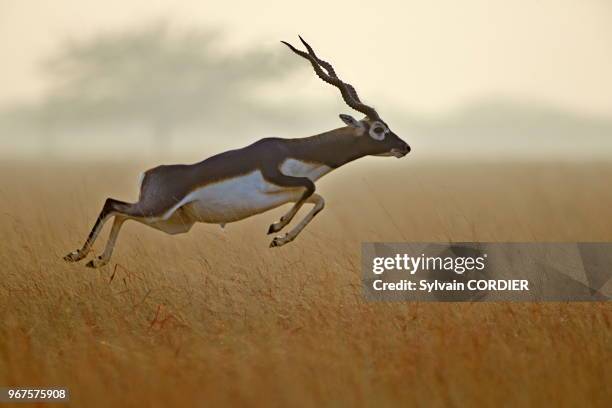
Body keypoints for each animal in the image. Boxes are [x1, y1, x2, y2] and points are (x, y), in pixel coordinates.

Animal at [63, 35, 412, 268]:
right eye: (378, 129)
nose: (404, 147)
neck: (296, 151)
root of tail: (148, 173)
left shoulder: (288, 192)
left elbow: (319, 199)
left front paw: (279, 237)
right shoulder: (278, 176)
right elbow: (311, 186)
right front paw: (276, 227)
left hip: (172, 223)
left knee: (122, 213)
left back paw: (98, 261)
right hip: (158, 210)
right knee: (112, 204)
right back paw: (77, 254)